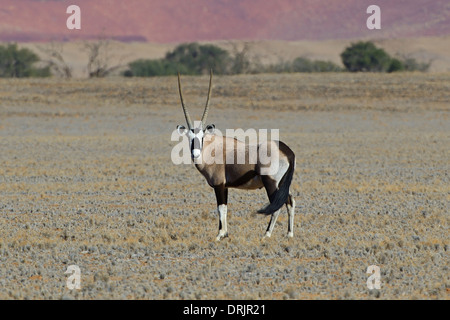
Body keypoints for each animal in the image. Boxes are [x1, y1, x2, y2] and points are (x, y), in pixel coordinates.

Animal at [176, 70, 296, 240]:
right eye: (189, 137)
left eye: (202, 137)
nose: (195, 153)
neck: (212, 149)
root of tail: (287, 151)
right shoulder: (225, 186)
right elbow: (225, 208)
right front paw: (225, 234)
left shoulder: (219, 185)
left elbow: (220, 208)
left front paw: (219, 235)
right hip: (283, 183)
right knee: (290, 201)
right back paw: (289, 234)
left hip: (271, 183)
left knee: (277, 206)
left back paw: (266, 234)